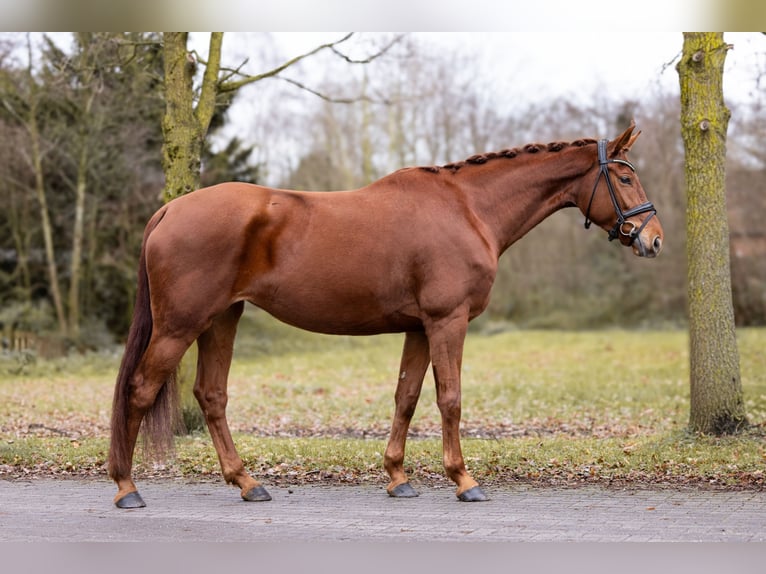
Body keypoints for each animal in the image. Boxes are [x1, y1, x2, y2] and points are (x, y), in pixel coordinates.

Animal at [109, 122, 664, 508]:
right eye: (624, 176)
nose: (653, 239)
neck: (468, 209)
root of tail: (169, 210)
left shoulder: (419, 327)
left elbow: (407, 398)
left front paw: (398, 478)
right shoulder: (447, 321)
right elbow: (449, 399)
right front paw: (464, 481)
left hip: (223, 318)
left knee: (212, 395)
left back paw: (248, 483)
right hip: (180, 325)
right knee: (140, 390)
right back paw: (126, 487)